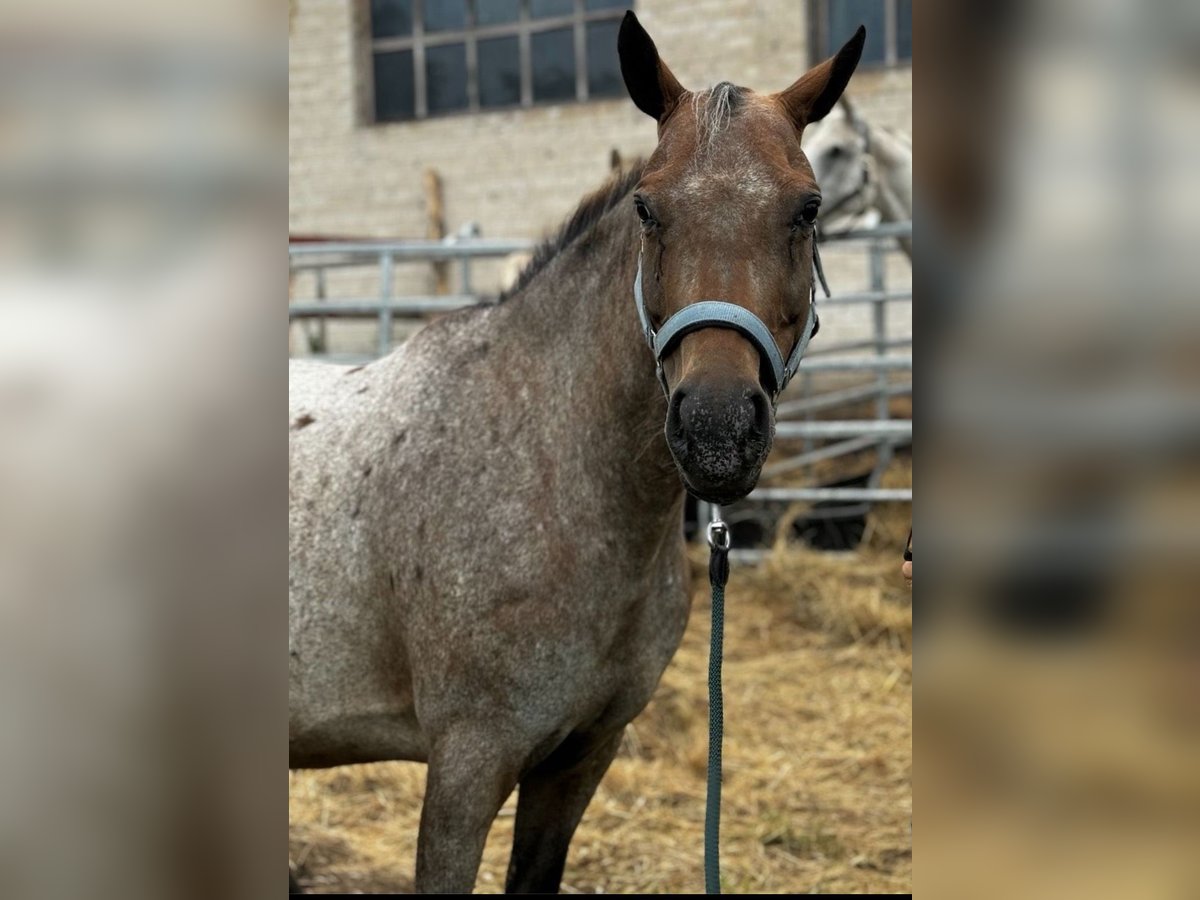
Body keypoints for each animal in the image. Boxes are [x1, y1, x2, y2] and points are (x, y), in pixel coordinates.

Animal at [288, 14, 864, 897]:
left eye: (807, 209)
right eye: (648, 208)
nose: (717, 430)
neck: (551, 467)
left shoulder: (582, 756)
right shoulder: (468, 762)